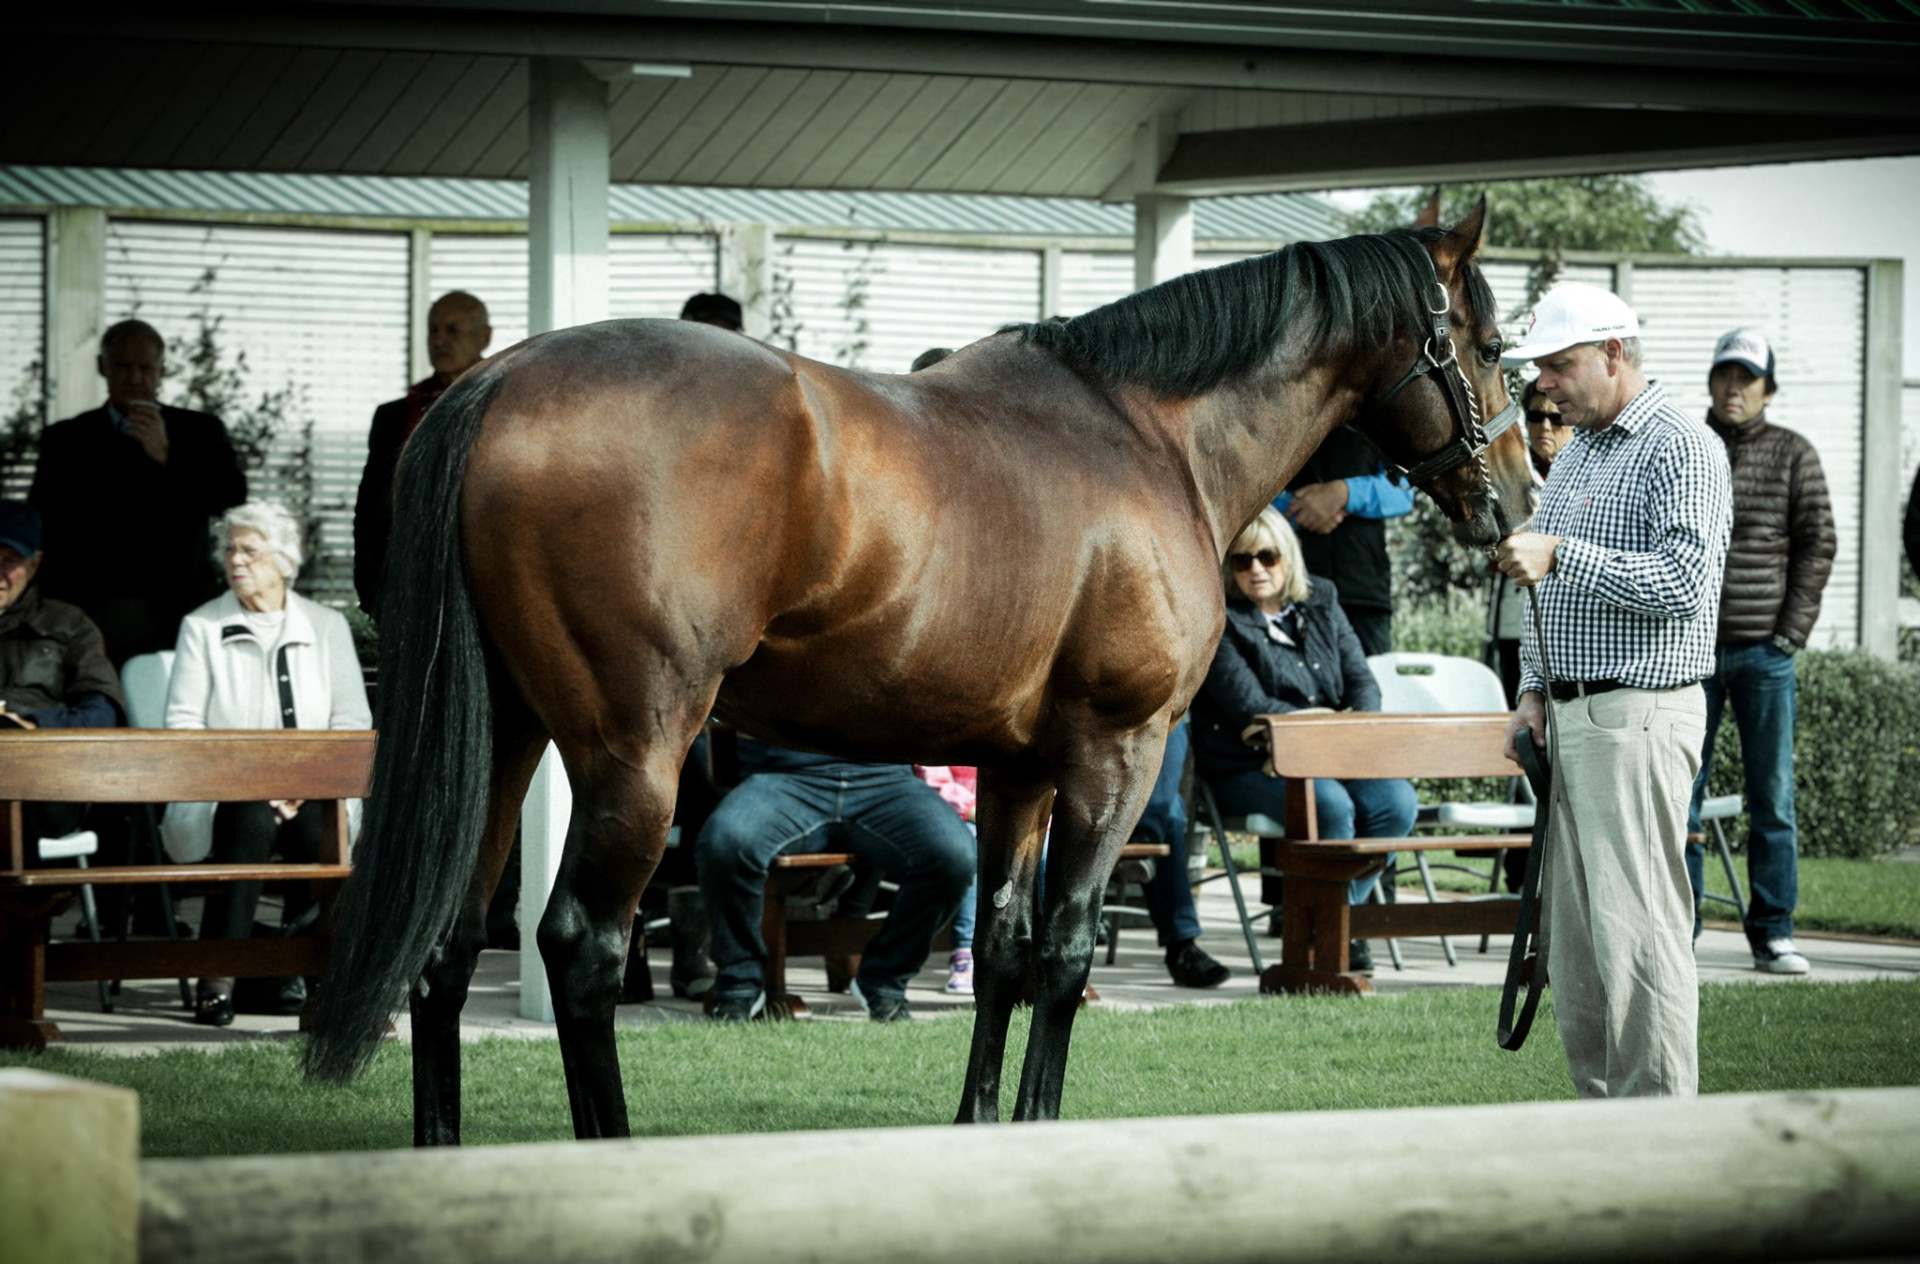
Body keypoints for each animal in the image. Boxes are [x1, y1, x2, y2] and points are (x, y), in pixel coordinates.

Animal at [303, 200, 1534, 1142]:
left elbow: (1001, 949)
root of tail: (495, 384)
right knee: (581, 949)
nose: (1516, 503)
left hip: (505, 739)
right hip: (634, 754)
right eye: (1486, 345)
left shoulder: (1021, 767)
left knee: (448, 946)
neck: (1152, 438)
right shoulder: (1117, 750)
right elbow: (1067, 949)